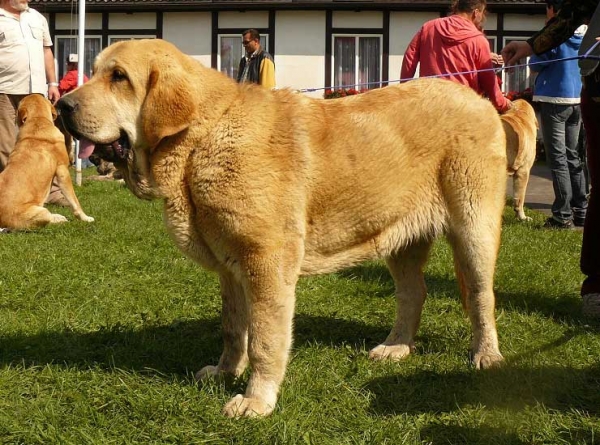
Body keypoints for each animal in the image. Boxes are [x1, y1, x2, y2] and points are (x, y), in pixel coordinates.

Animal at [0, 95, 94, 231]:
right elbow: (74, 201)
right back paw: (60, 219)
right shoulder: (62, 170)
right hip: (40, 212)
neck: (37, 120)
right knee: (46, 221)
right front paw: (85, 218)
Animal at [56, 40, 506, 418]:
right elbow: (233, 328)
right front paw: (224, 372)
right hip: (399, 239)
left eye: (119, 77)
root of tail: (481, 101)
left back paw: (487, 356)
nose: (61, 106)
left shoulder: (265, 263)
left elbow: (264, 339)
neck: (201, 140)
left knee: (481, 296)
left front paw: (256, 400)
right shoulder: (230, 267)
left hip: (474, 228)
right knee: (414, 292)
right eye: (93, 72)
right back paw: (397, 347)